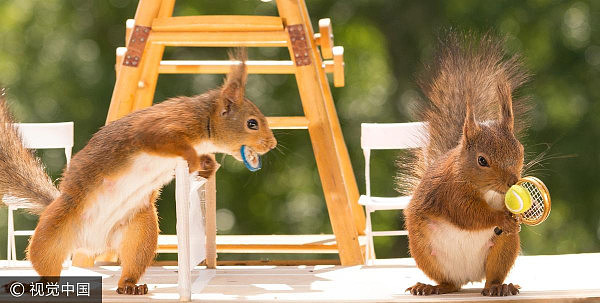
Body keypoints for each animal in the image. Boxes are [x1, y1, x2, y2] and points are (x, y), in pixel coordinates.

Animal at [0, 48, 276, 296]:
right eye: (252, 123)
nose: (272, 144)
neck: (203, 121)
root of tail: (92, 245)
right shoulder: (159, 128)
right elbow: (167, 142)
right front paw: (196, 160)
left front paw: (208, 165)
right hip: (53, 231)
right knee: (47, 269)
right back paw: (36, 285)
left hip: (140, 234)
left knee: (131, 265)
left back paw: (130, 286)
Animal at [400, 32, 532, 298]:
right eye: (482, 160)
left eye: (520, 150)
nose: (513, 182)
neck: (488, 192)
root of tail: (469, 277)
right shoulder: (450, 194)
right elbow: (468, 214)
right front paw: (500, 217)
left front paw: (517, 216)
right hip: (423, 250)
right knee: (449, 283)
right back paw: (430, 287)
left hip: (503, 248)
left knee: (490, 278)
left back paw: (500, 286)